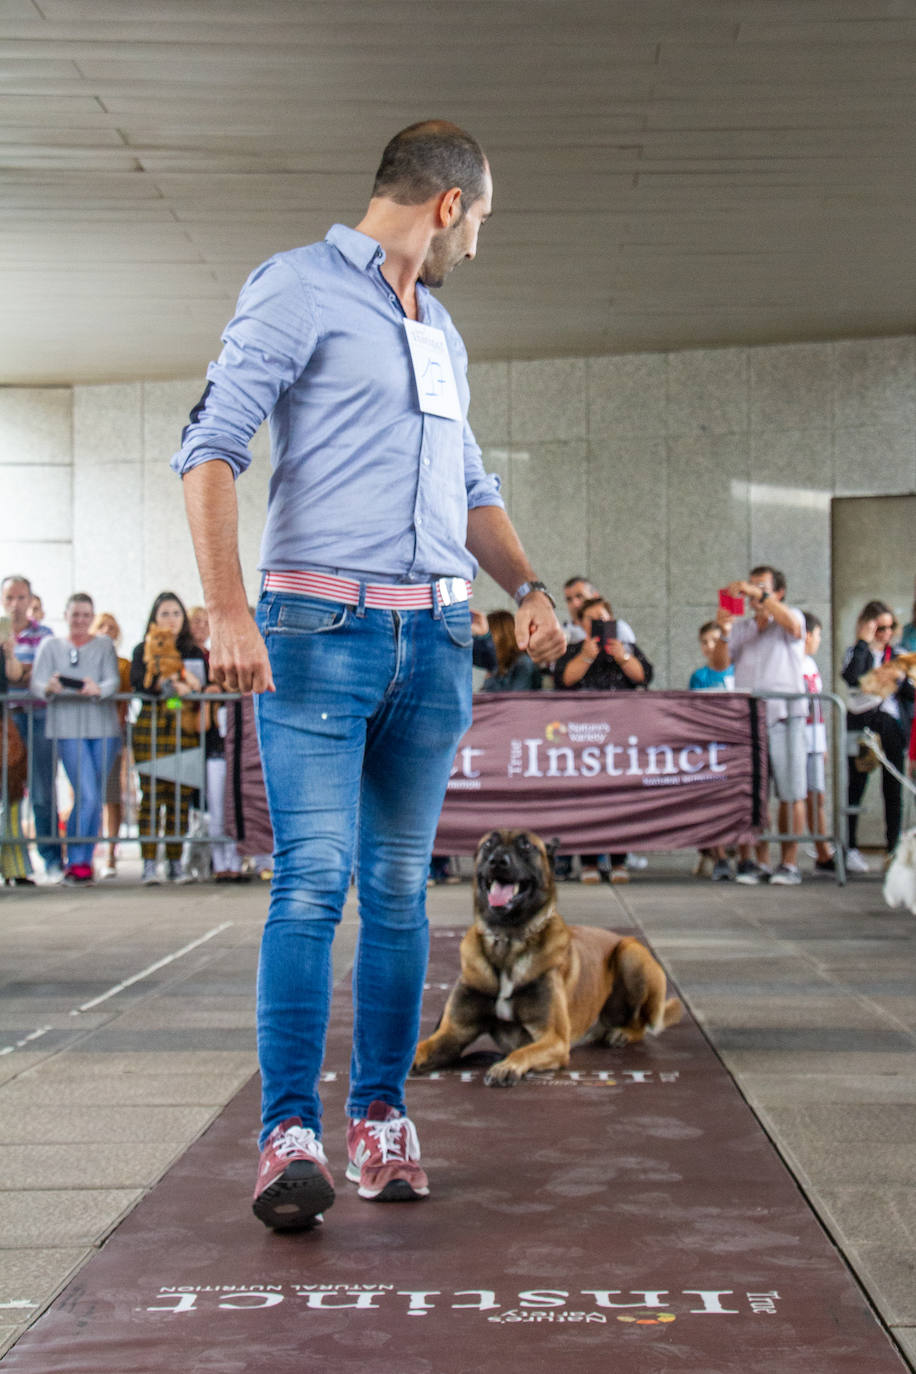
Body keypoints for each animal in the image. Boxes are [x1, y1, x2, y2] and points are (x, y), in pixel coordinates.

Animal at [414, 824, 681, 1082]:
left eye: (526, 846)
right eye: (489, 844)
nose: (497, 860)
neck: (508, 940)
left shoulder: (554, 1039)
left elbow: (523, 1051)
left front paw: (507, 1066)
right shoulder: (453, 1033)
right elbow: (418, 1048)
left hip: (631, 952)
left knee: (641, 1023)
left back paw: (623, 1033)